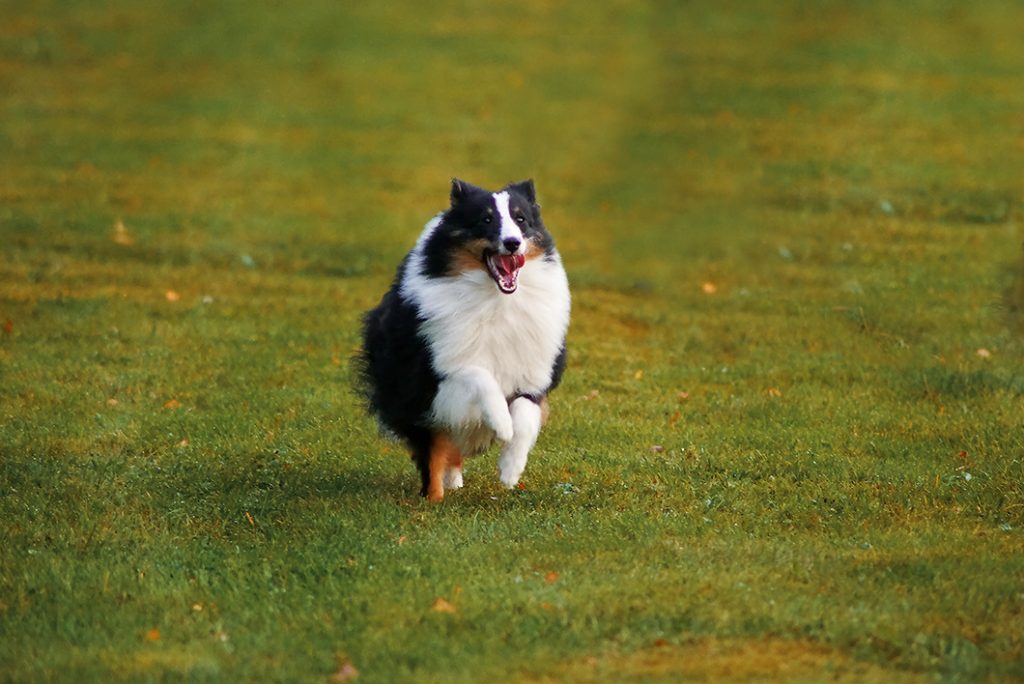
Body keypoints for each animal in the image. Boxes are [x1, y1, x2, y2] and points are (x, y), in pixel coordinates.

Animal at [358, 179, 569, 499]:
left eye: (521, 219)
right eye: (486, 220)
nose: (512, 243)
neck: (496, 300)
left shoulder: (534, 371)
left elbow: (525, 413)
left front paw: (510, 469)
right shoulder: (440, 370)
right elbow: (479, 375)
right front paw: (502, 424)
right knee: (433, 450)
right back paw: (434, 497)